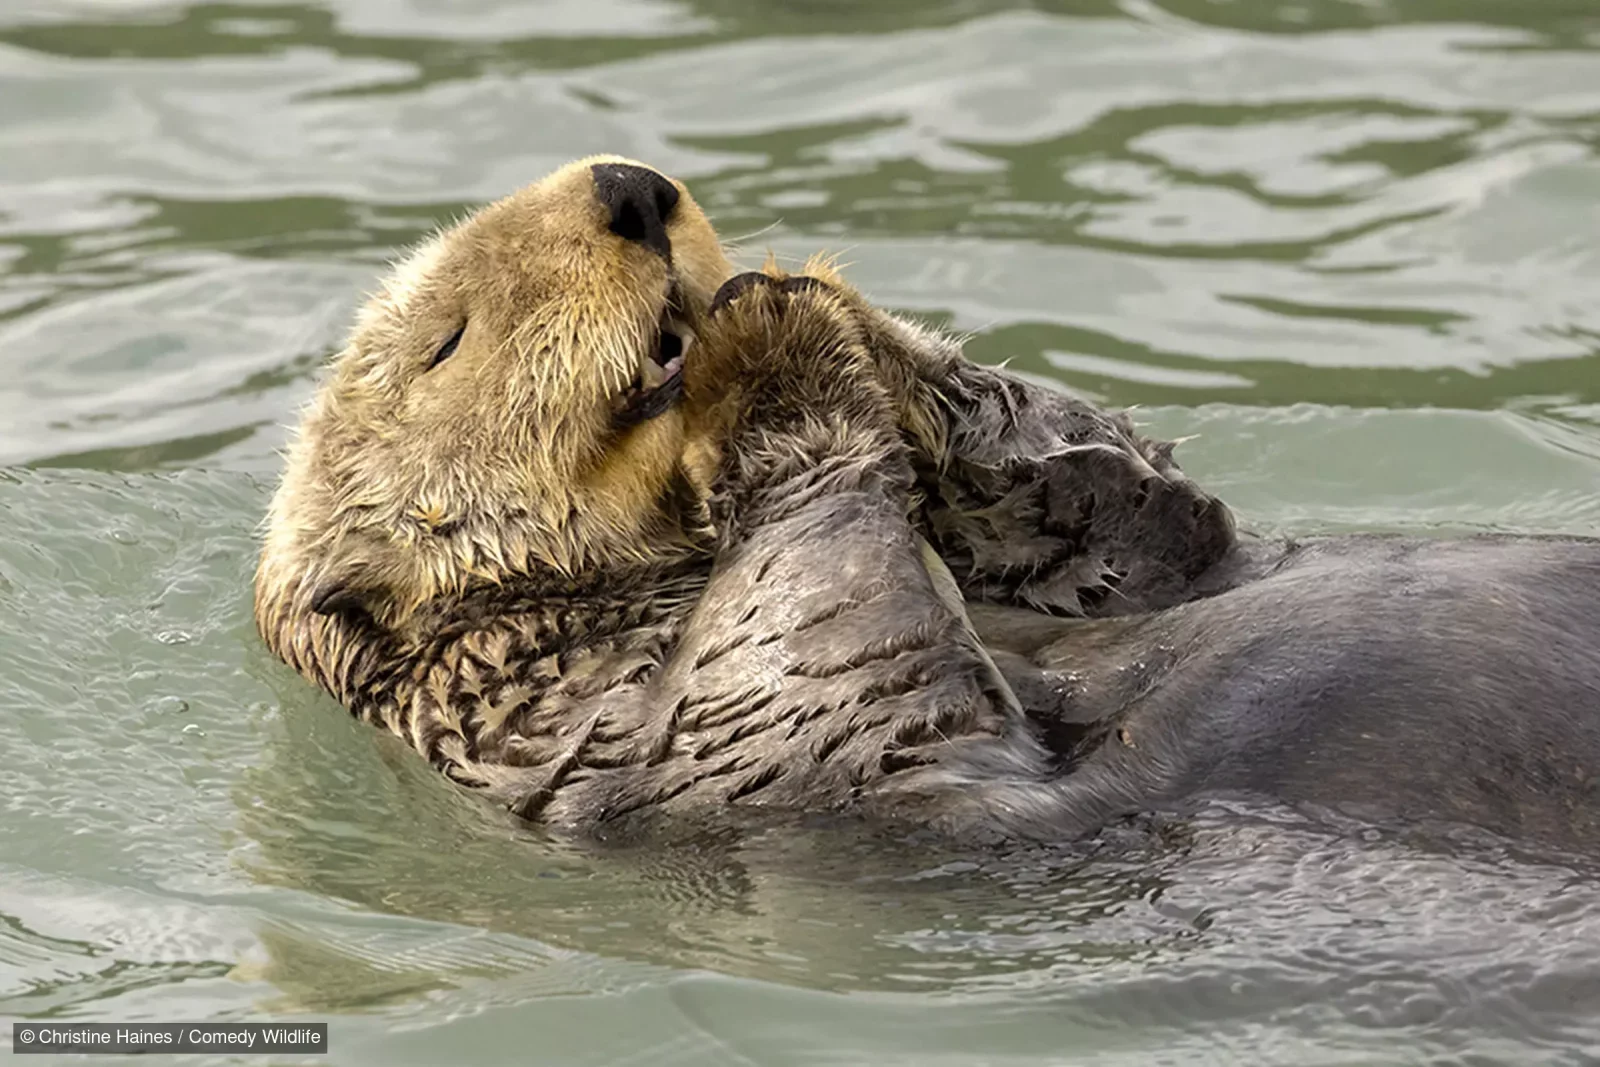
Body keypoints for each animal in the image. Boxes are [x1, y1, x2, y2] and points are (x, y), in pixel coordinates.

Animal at [259, 156, 1600, 851]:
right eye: (445, 339)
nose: (631, 189)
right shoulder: (578, 723)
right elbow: (826, 664)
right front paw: (770, 346)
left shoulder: (1137, 553)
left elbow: (1149, 520)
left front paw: (822, 300)